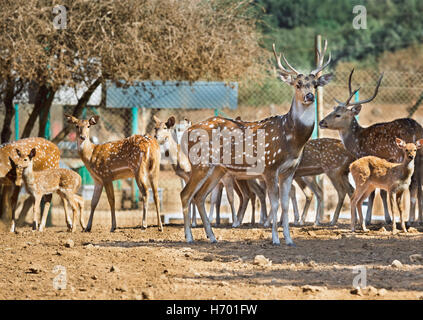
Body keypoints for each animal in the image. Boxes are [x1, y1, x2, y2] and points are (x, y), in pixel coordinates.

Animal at [177, 40, 332, 245]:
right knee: (186, 194)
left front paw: (289, 239)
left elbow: (285, 204)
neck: (291, 139)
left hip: (218, 169)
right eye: (298, 84)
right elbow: (274, 203)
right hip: (200, 163)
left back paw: (212, 237)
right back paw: (189, 237)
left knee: (200, 196)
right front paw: (275, 239)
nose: (310, 96)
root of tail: (185, 133)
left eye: (315, 85)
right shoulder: (270, 167)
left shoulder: (290, 170)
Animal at [320, 69, 423, 226]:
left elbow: (374, 192)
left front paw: (369, 220)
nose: (321, 122)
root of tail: (417, 128)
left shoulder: (370, 157)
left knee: (413, 184)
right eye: (333, 111)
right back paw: (418, 219)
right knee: (419, 185)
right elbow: (381, 191)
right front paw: (386, 219)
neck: (357, 143)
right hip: (419, 157)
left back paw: (410, 220)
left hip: (405, 156)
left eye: (338, 115)